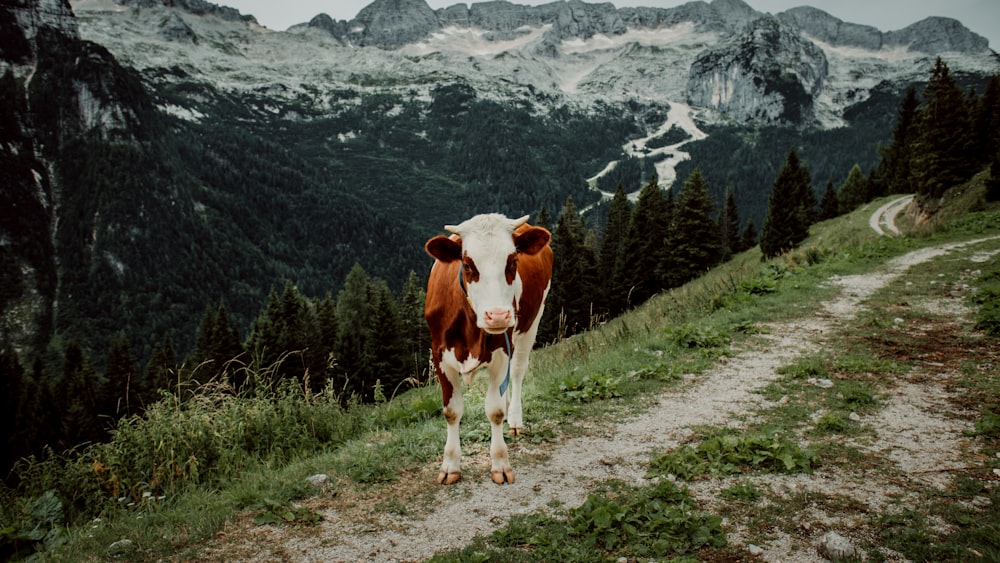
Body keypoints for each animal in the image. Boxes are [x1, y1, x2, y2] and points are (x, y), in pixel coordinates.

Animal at [424, 213, 556, 484]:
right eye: (467, 264)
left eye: (513, 261)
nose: (497, 316)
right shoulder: (439, 354)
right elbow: (451, 411)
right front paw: (450, 465)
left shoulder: (502, 350)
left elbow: (494, 411)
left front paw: (500, 464)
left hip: (531, 322)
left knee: (517, 372)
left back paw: (513, 419)